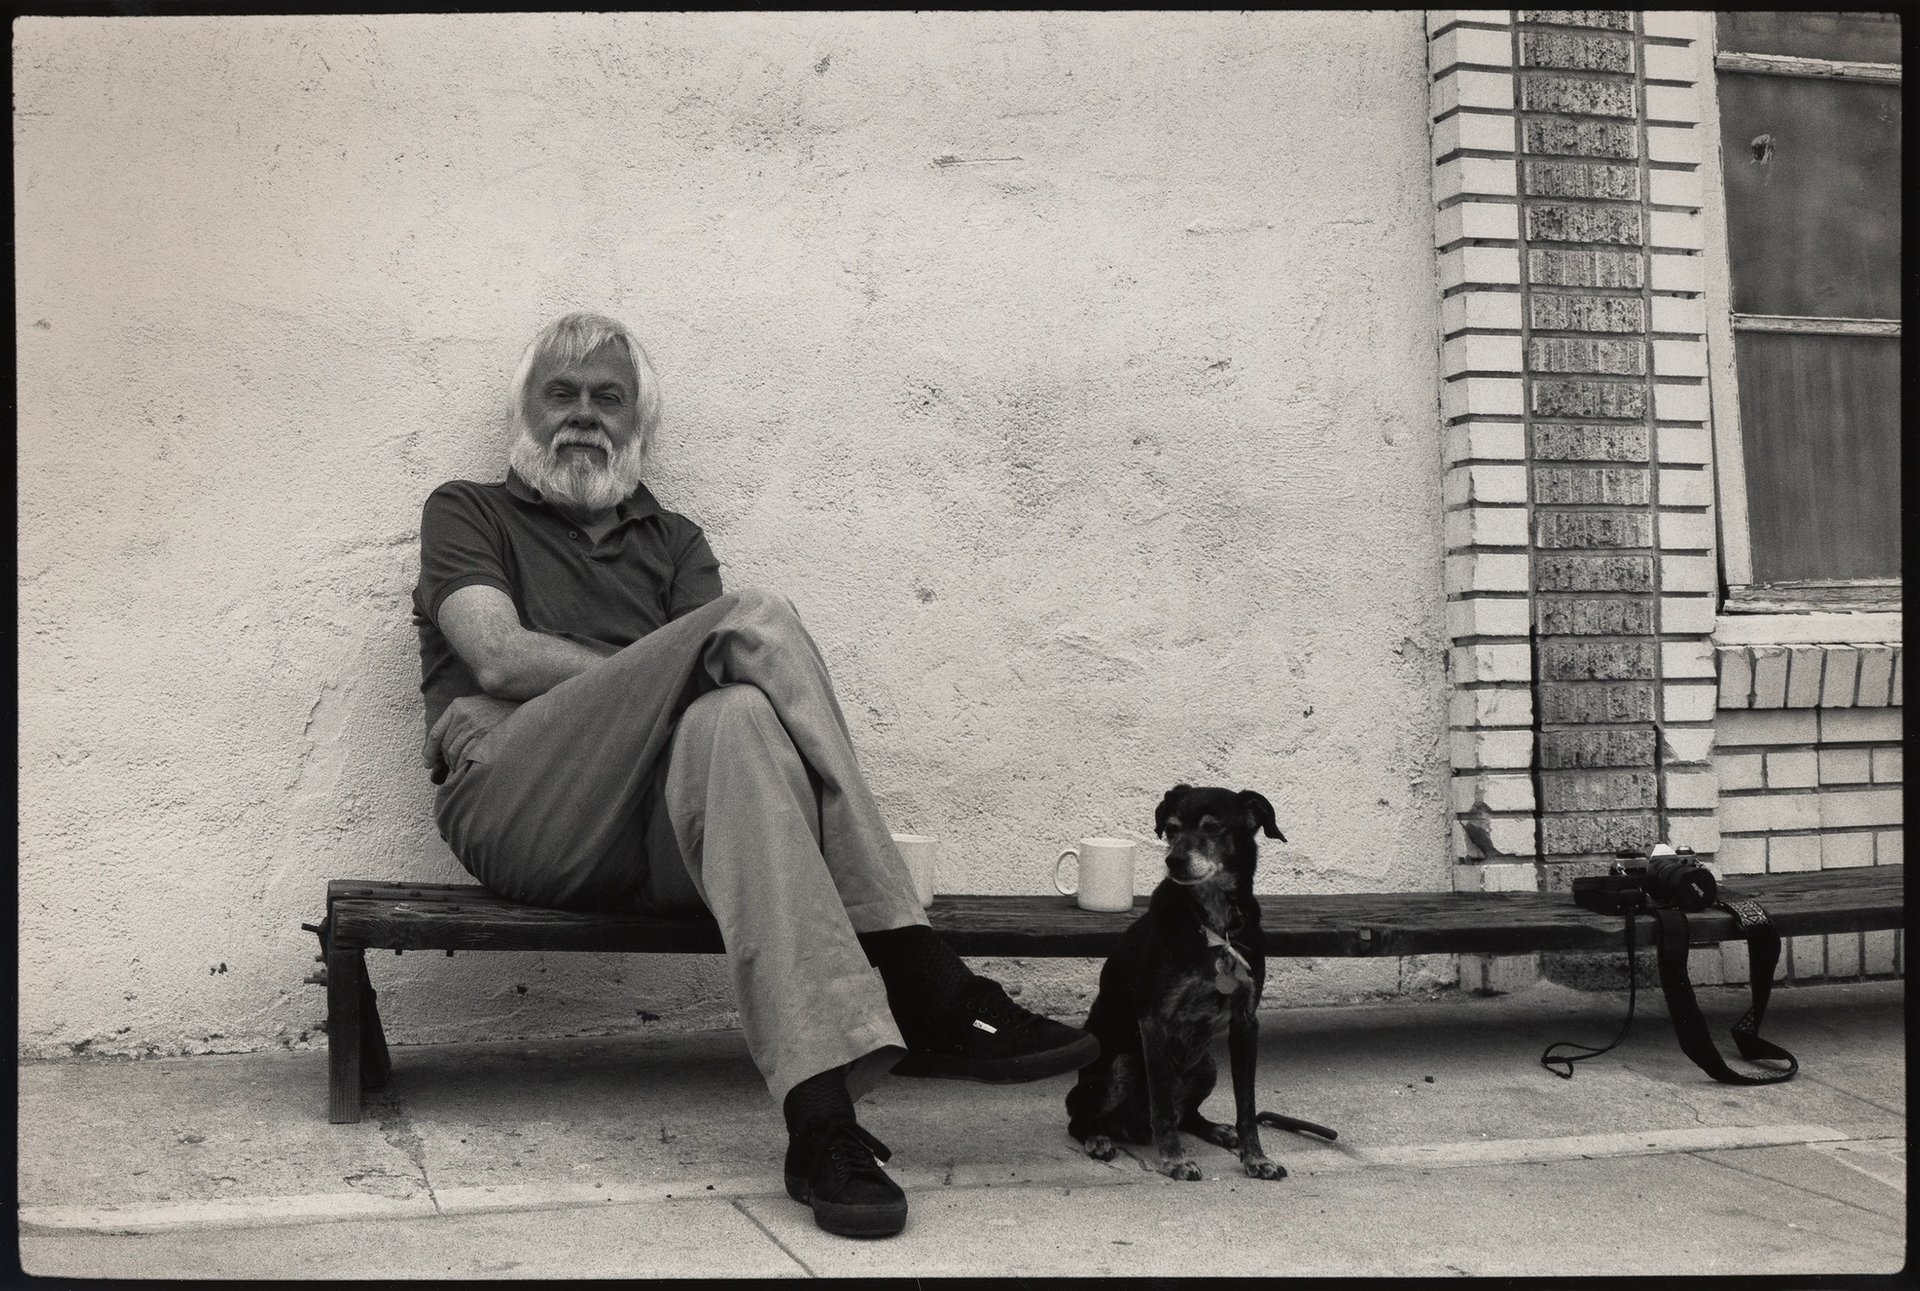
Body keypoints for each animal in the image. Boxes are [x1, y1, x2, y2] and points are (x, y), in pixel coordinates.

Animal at [1065, 783, 1335, 1180]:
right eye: (1171, 829)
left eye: (1212, 828)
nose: (1173, 861)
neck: (1214, 924)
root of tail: (1132, 1128)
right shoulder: (1154, 1021)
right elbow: (1161, 1104)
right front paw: (1174, 1160)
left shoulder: (1245, 1021)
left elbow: (1246, 1106)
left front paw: (1256, 1158)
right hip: (1119, 1067)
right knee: (1083, 1120)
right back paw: (1098, 1139)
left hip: (1207, 1065)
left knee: (1187, 1115)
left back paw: (1216, 1130)